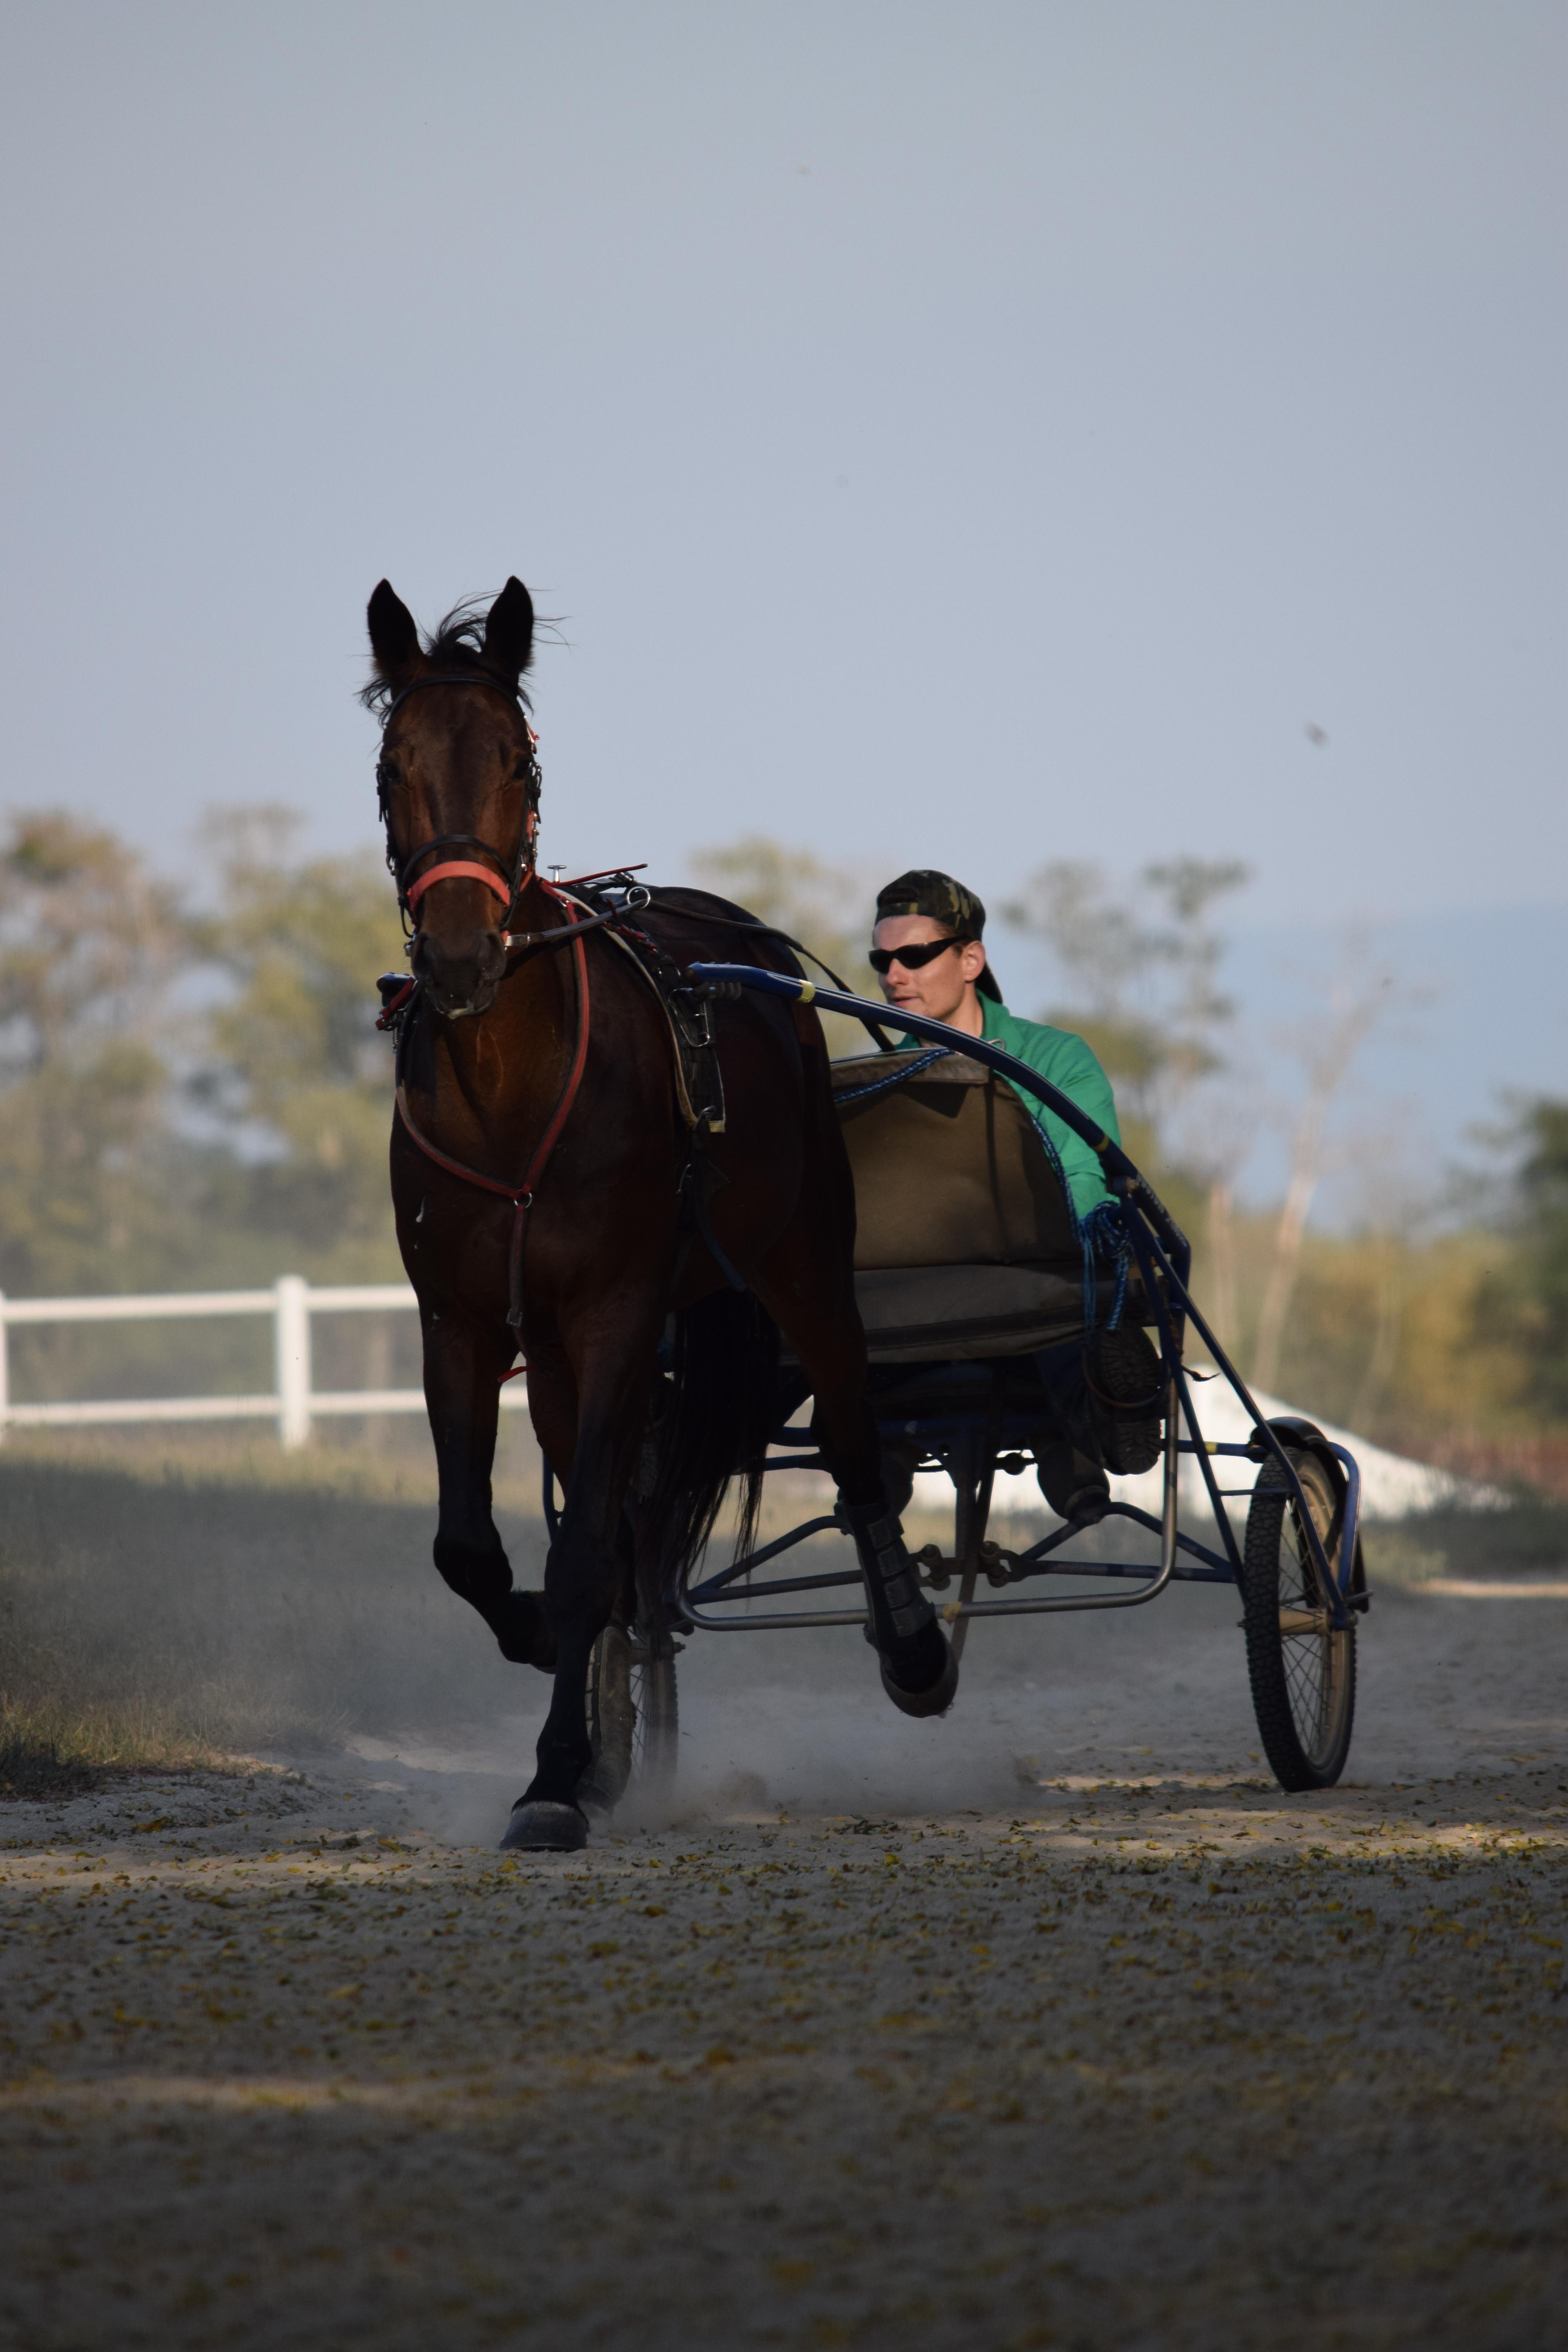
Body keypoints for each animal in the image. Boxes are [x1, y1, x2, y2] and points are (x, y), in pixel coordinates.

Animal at [369, 579, 959, 1844]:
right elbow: (469, 1545)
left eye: (519, 762)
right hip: (556, 1349)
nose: (458, 958)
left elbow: (586, 1550)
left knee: (850, 1439)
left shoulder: (617, 1310)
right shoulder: (461, 1319)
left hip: (802, 1256)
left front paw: (552, 1775)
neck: (514, 1096)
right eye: (395, 765)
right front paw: (552, 1675)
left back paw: (911, 1647)